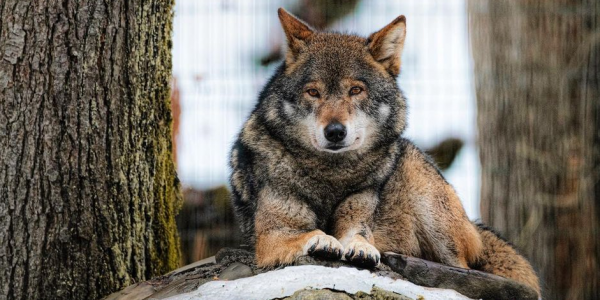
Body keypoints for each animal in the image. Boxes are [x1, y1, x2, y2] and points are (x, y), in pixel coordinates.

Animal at [227, 8, 540, 296]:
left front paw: (361, 248)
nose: (335, 131)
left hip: (423, 190)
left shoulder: (358, 218)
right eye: (313, 92)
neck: (331, 174)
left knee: (461, 270)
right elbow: (311, 232)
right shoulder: (270, 237)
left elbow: (358, 236)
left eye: (356, 90)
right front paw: (323, 240)